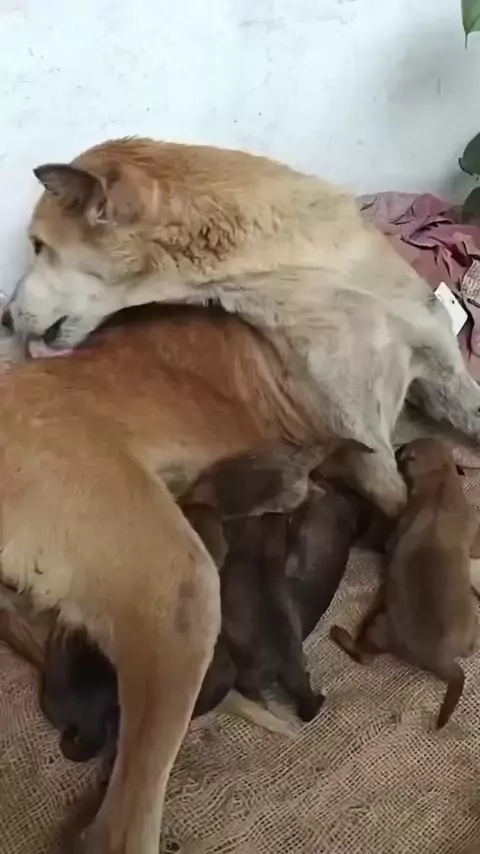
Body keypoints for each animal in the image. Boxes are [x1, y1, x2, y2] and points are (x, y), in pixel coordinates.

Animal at [331, 438, 480, 729]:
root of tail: (441, 661)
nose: (397, 447)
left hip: (378, 627)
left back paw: (338, 633)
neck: (440, 476)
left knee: (363, 655)